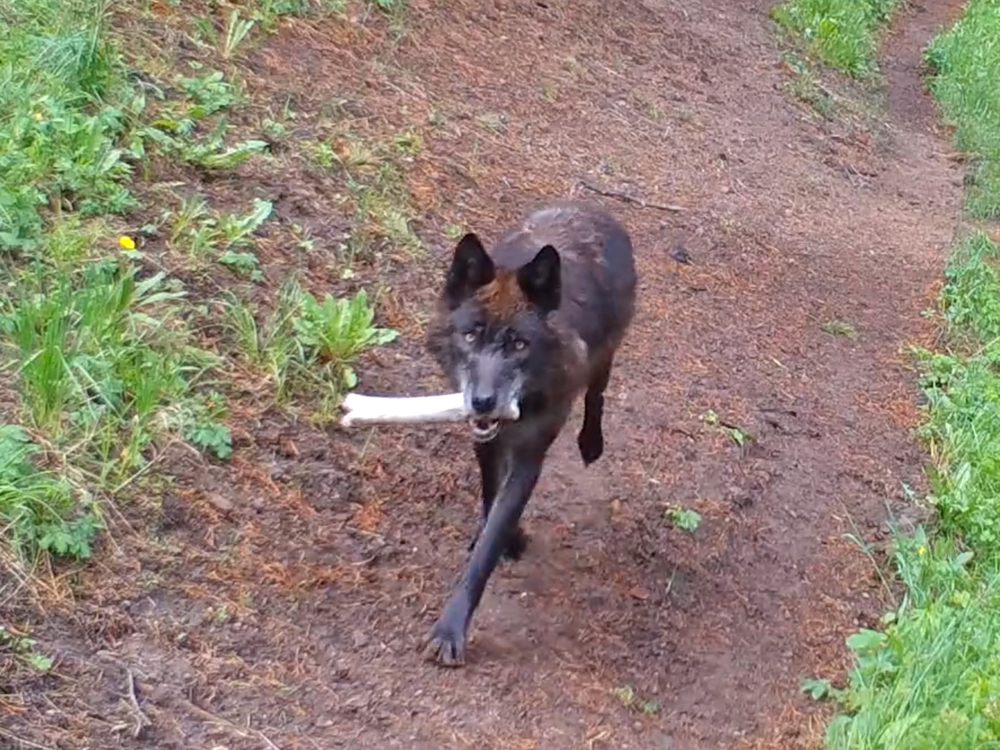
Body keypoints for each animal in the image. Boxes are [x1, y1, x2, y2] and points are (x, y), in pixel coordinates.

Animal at [420, 201, 636, 668]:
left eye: (519, 345)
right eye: (470, 335)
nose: (483, 401)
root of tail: (588, 206)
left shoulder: (531, 456)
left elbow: (491, 542)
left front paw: (450, 629)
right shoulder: (486, 442)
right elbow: (490, 497)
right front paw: (501, 535)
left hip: (606, 355)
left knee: (597, 393)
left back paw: (591, 443)